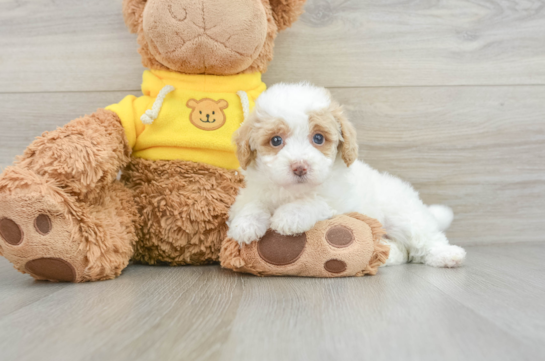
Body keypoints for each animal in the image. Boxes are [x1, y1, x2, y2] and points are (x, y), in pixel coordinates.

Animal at [227, 83, 466, 266]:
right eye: (276, 140)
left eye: (318, 138)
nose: (300, 167)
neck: (293, 191)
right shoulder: (253, 192)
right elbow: (252, 204)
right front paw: (245, 224)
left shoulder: (338, 203)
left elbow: (314, 202)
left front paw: (289, 216)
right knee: (403, 249)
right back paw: (387, 254)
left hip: (403, 216)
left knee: (425, 238)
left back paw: (448, 255)